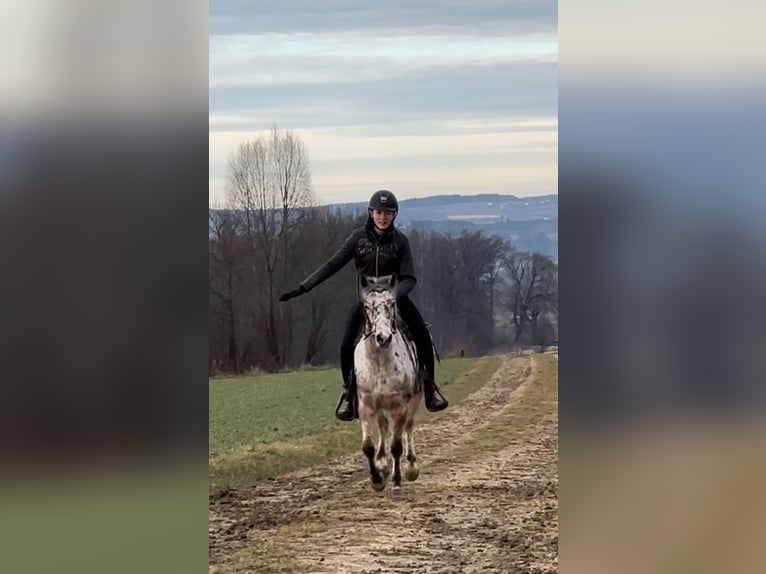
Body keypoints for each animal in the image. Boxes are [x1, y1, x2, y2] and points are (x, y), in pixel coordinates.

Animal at [356, 276, 424, 492]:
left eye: (392, 303)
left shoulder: (401, 406)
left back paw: (411, 467)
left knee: (408, 427)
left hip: (414, 401)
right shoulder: (366, 405)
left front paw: (396, 480)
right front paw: (377, 478)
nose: (383, 337)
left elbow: (396, 445)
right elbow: (368, 446)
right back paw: (382, 463)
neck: (380, 362)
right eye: (367, 306)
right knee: (384, 428)